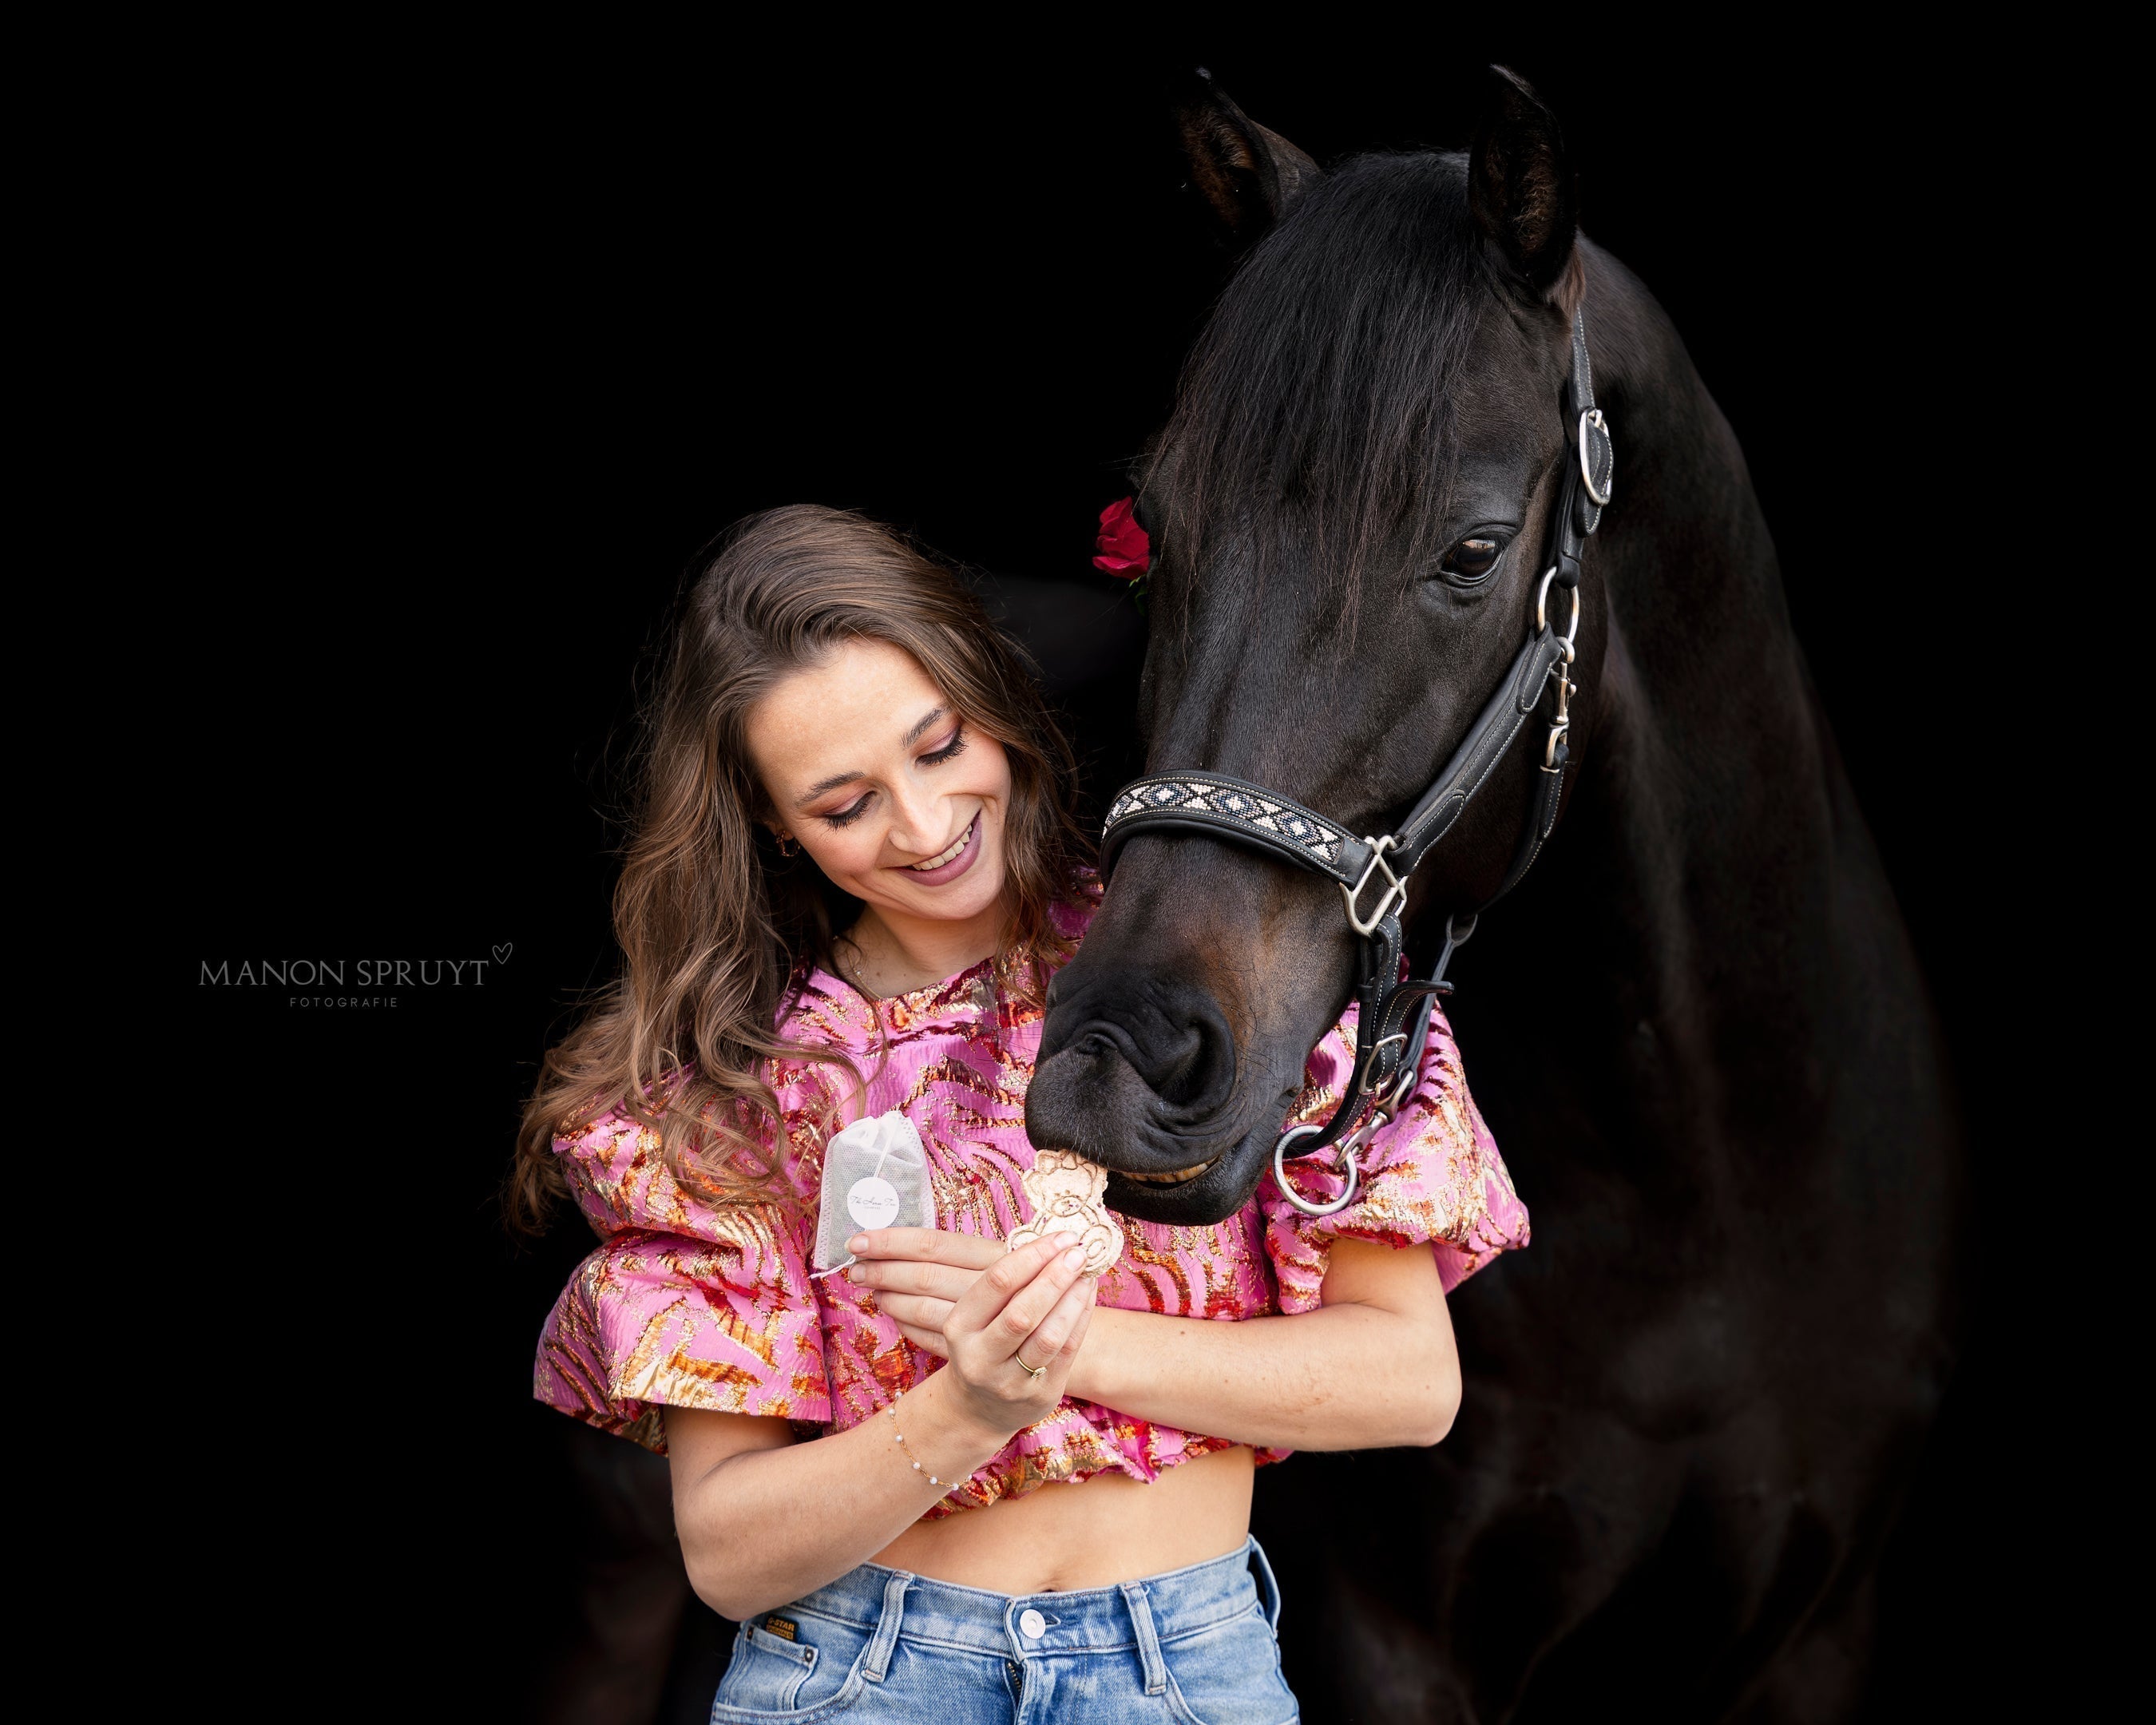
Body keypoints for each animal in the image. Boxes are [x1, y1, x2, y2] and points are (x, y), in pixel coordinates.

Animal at [1025, 68, 1963, 1722]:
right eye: (1160, 525)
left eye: (1469, 551)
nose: (1119, 1060)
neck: (1697, 1203)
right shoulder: (1387, 1638)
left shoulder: (1819, 1633)